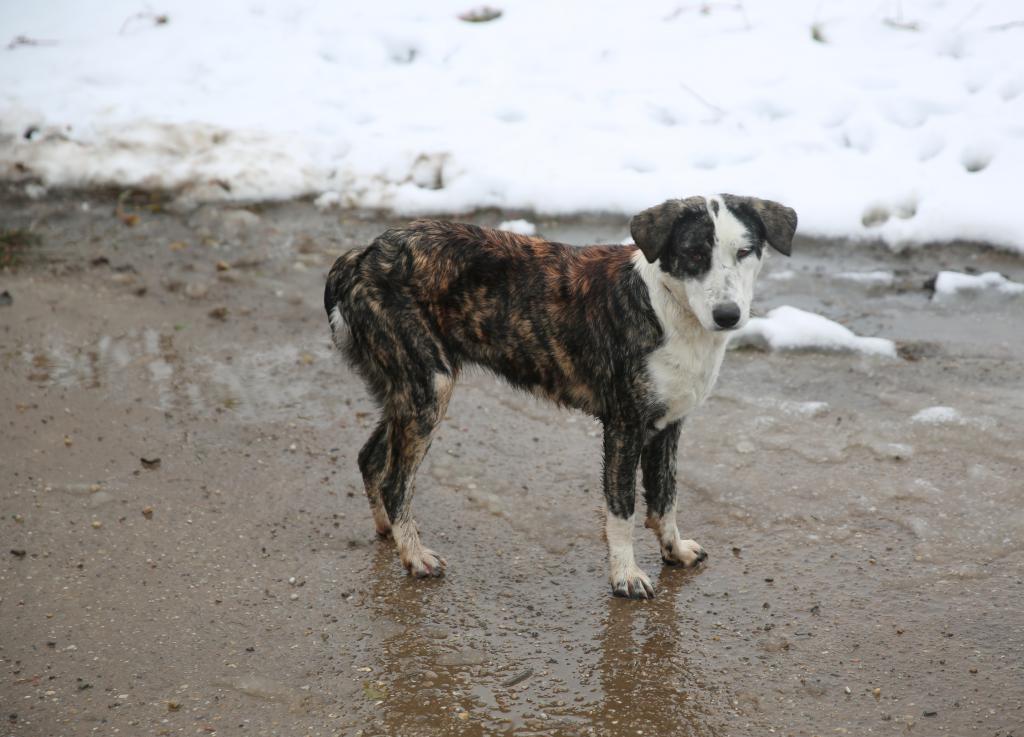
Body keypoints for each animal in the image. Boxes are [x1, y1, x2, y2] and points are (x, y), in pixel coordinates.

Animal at [323, 194, 794, 597]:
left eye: (745, 252)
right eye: (694, 254)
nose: (728, 315)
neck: (666, 308)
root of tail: (362, 256)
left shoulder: (668, 426)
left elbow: (666, 498)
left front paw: (673, 550)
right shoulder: (624, 427)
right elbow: (622, 509)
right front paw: (625, 575)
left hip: (405, 389)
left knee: (370, 459)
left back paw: (388, 532)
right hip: (427, 387)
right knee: (395, 481)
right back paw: (414, 555)